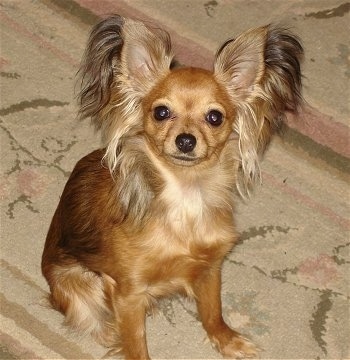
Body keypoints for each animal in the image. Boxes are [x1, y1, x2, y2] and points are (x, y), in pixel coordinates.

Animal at [41, 14, 304, 360]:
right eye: (161, 112)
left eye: (215, 117)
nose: (186, 140)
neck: (186, 197)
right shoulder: (128, 291)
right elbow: (135, 341)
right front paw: (129, 343)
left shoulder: (210, 268)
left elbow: (212, 310)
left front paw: (227, 340)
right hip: (78, 282)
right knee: (91, 316)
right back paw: (110, 331)